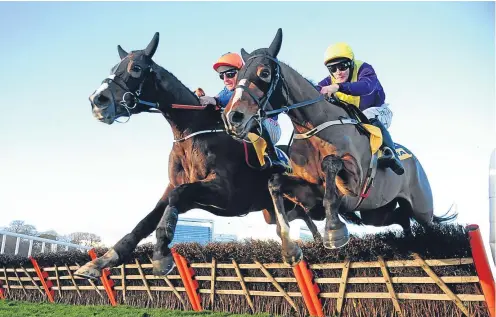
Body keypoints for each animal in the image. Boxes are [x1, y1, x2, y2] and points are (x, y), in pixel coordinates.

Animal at [75, 33, 328, 278]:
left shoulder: (227, 194)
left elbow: (176, 196)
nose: (98, 100)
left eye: (135, 68)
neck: (192, 133)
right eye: (113, 67)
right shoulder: (181, 191)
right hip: (278, 211)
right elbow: (145, 221)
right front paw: (100, 261)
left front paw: (161, 255)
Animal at [225, 27, 458, 264]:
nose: (233, 117)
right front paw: (290, 249)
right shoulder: (309, 194)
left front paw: (334, 231)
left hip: (422, 208)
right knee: (402, 218)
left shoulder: (354, 183)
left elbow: (330, 165)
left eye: (264, 73)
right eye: (238, 75)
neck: (314, 126)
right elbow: (275, 183)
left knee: (427, 227)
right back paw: (411, 245)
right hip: (377, 212)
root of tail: (416, 163)